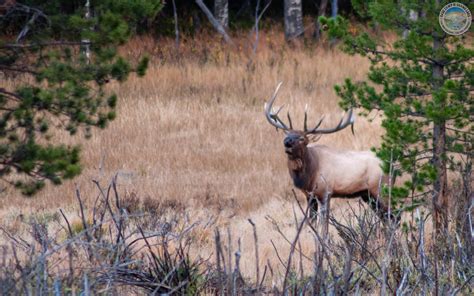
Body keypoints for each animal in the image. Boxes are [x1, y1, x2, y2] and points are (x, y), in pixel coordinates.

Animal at [264, 82, 394, 222]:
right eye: (287, 134)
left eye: (302, 138)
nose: (287, 142)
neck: (309, 175)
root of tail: (394, 166)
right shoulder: (309, 196)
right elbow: (312, 221)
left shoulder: (325, 192)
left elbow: (323, 224)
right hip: (367, 195)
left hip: (381, 189)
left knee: (394, 217)